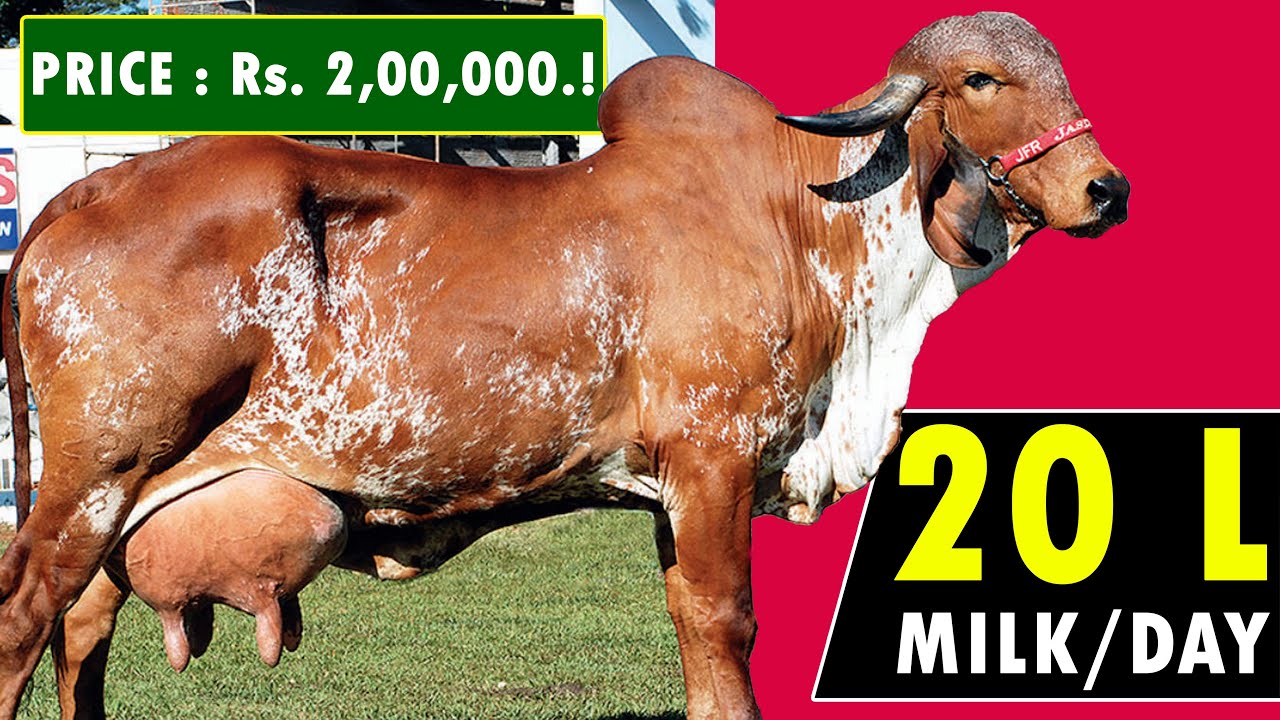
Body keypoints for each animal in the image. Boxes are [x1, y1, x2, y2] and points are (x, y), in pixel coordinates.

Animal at [0, 12, 1127, 719]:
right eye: (980, 81)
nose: (1104, 188)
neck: (804, 217)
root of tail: (78, 194)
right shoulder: (712, 457)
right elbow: (726, 627)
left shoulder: (677, 489)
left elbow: (694, 638)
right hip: (92, 477)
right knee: (25, 618)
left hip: (120, 501)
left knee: (82, 636)